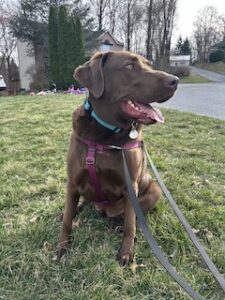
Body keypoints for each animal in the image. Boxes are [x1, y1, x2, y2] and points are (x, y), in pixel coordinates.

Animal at [55, 51, 178, 264]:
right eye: (129, 67)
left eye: (149, 65)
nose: (175, 80)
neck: (105, 136)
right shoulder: (72, 182)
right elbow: (67, 222)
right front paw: (62, 247)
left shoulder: (130, 186)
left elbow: (130, 223)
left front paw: (126, 252)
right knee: (78, 205)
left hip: (154, 190)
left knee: (129, 216)